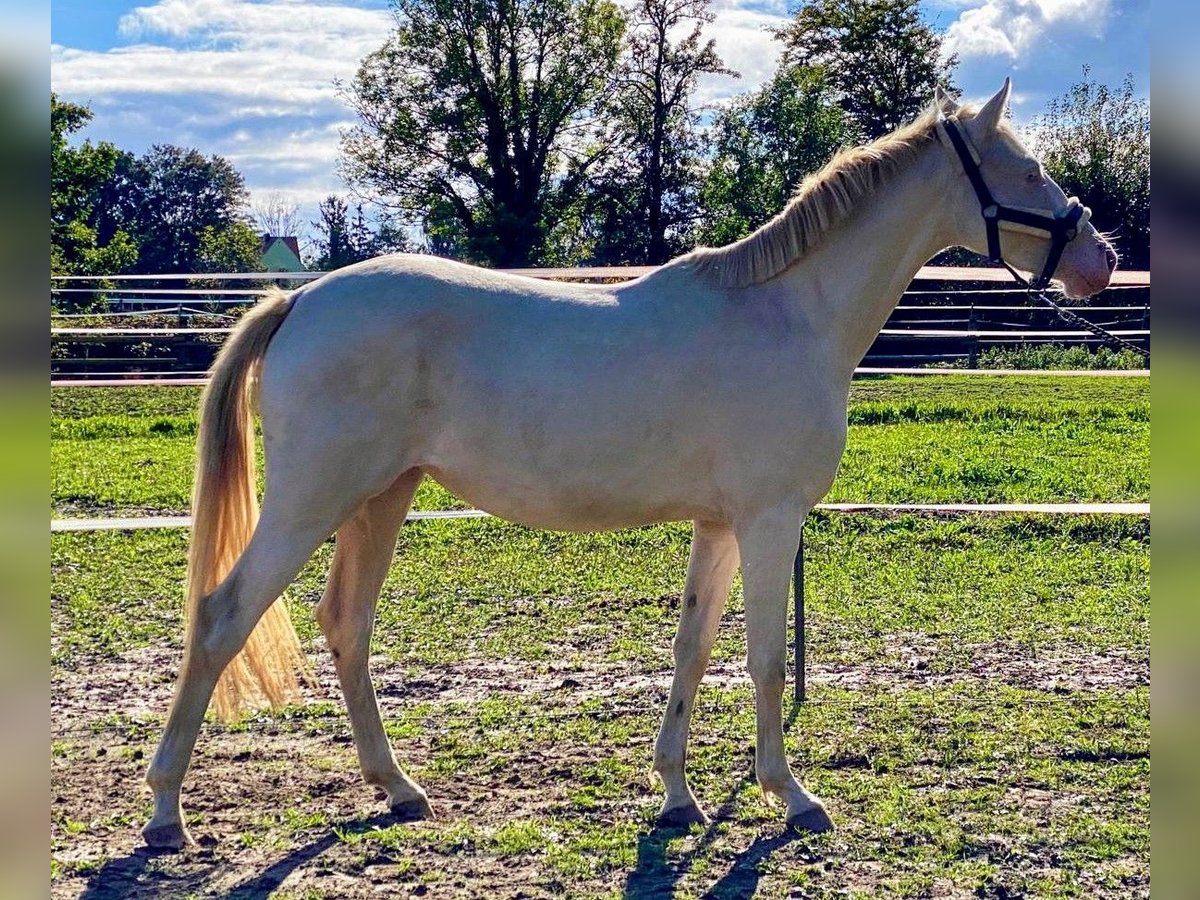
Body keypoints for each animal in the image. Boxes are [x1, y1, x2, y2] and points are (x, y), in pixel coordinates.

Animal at [140, 81, 1113, 849]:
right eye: (1028, 170)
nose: (1100, 260)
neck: (788, 314)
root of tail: (299, 300)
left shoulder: (720, 525)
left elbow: (692, 648)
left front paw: (677, 794)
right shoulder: (769, 521)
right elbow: (763, 660)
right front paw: (792, 798)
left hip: (380, 499)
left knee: (346, 625)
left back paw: (399, 788)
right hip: (313, 501)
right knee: (222, 617)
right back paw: (165, 813)